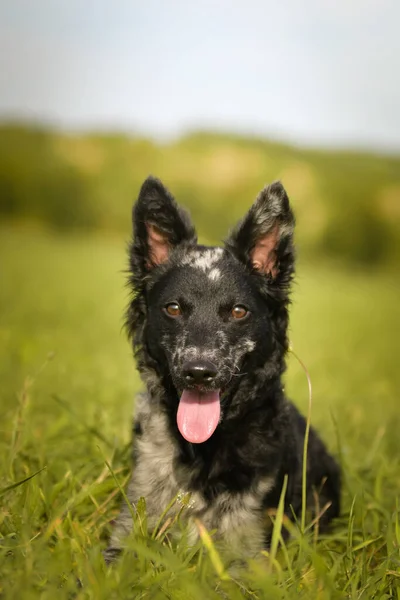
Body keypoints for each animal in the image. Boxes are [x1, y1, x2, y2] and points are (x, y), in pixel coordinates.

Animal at [104, 176, 340, 560]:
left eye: (238, 311)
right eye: (173, 308)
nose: (199, 372)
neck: (202, 450)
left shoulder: (249, 550)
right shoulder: (129, 527)